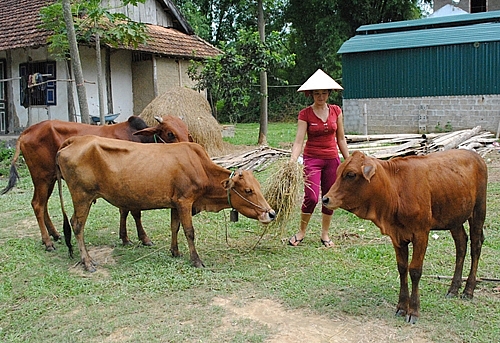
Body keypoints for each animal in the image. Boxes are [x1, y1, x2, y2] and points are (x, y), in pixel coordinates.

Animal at [2, 114, 189, 251]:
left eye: (187, 131)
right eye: (170, 133)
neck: (140, 139)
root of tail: (26, 132)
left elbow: (124, 211)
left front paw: (124, 237)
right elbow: (135, 212)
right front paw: (144, 238)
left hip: (50, 180)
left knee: (43, 205)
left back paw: (55, 235)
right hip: (42, 178)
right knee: (38, 205)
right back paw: (48, 242)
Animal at [56, 137, 278, 272]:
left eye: (257, 187)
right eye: (248, 190)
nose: (271, 213)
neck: (200, 167)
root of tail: (74, 140)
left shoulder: (175, 204)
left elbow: (175, 227)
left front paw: (175, 251)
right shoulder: (185, 201)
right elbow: (189, 231)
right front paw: (196, 260)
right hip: (82, 197)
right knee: (77, 225)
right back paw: (87, 262)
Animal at [322, 149, 486, 324]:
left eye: (351, 174)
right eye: (338, 172)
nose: (325, 199)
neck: (395, 190)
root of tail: (474, 155)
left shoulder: (421, 234)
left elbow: (415, 270)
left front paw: (413, 311)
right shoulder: (397, 237)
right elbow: (402, 268)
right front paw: (401, 307)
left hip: (478, 210)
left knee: (475, 246)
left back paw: (468, 290)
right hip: (454, 218)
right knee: (461, 244)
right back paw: (453, 288)